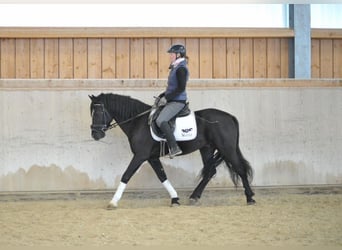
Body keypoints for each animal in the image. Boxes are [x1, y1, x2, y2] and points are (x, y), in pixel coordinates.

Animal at [89, 93, 255, 208]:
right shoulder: (151, 157)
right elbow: (162, 176)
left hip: (227, 148)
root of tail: (230, 116)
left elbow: (126, 175)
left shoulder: (140, 156)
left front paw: (113, 202)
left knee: (240, 169)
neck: (138, 122)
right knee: (210, 172)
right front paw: (175, 199)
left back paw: (250, 198)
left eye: (98, 112)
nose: (95, 135)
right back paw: (194, 197)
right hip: (207, 149)